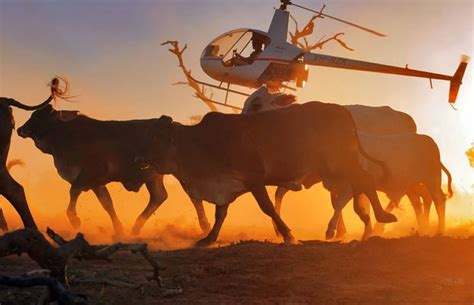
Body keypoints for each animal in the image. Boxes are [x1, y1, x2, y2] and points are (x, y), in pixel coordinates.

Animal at [18, 105, 211, 236]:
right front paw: (119, 230)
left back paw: (205, 226)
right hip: (153, 177)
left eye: (38, 116)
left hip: (180, 174)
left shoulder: (91, 173)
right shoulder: (95, 182)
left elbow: (74, 191)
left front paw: (75, 220)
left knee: (193, 197)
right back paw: (136, 228)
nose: (20, 129)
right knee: (159, 196)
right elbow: (107, 203)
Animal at [138, 102, 400, 247]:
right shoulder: (226, 186)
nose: (138, 159)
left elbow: (268, 208)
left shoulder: (254, 180)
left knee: (366, 181)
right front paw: (208, 239)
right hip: (337, 169)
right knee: (359, 187)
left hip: (341, 162)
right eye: (148, 134)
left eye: (157, 136)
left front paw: (288, 235)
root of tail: (340, 110)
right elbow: (220, 215)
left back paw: (383, 217)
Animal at [244, 86, 452, 239]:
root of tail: (406, 118)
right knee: (421, 198)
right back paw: (420, 227)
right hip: (409, 180)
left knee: (421, 198)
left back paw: (385, 227)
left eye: (256, 103)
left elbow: (341, 200)